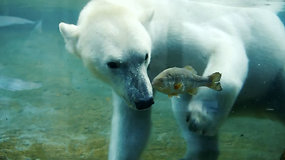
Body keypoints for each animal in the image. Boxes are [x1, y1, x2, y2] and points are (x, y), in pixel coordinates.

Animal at [58, 0, 284, 159]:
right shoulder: (129, 88)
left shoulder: (179, 31)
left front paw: (201, 118)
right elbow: (132, 129)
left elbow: (224, 45)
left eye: (144, 56)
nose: (145, 100)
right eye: (113, 64)